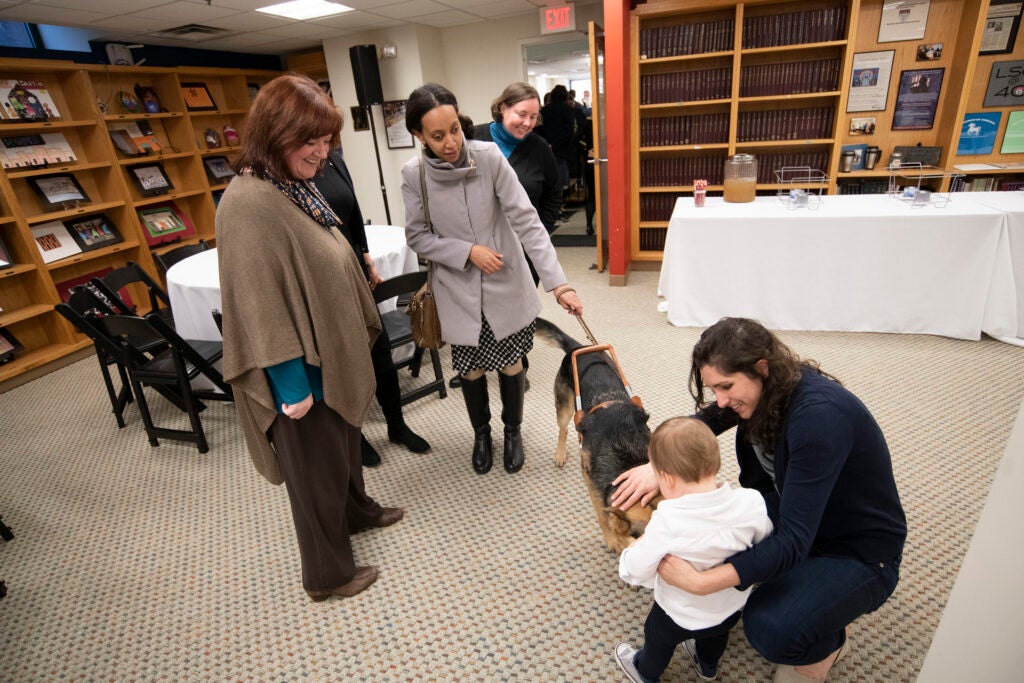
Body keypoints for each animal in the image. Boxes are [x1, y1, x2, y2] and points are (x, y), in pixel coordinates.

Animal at [536, 317, 655, 552]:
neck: (627, 459)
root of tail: (578, 347)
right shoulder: (591, 482)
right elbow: (603, 516)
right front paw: (612, 539)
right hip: (565, 407)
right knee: (563, 429)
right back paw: (560, 454)